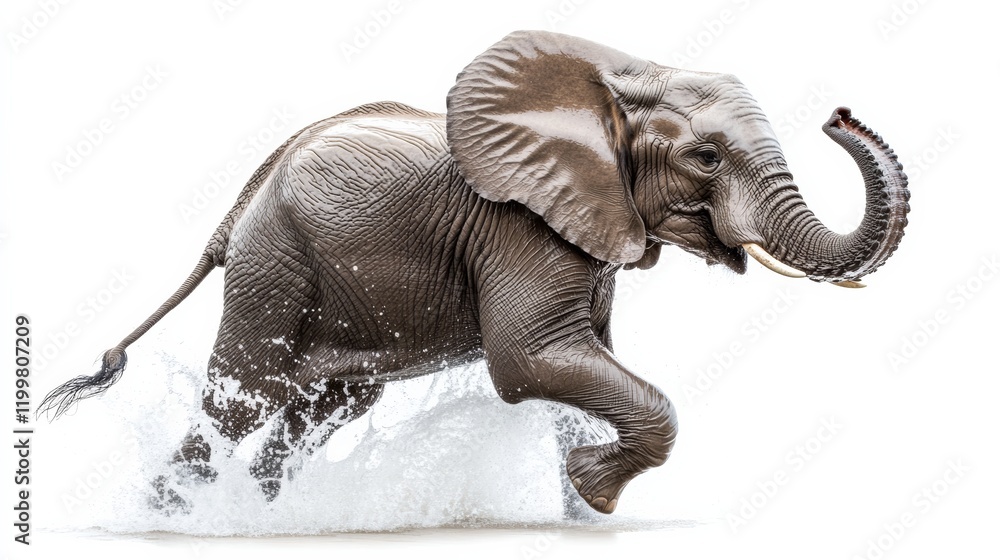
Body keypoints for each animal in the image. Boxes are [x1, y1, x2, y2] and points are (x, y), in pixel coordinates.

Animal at [39, 30, 909, 515]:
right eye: (705, 157)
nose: (840, 114)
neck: (616, 81)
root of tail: (240, 202)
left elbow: (588, 362)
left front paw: (580, 504)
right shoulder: (521, 228)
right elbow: (531, 361)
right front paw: (592, 490)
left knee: (324, 408)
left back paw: (258, 516)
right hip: (273, 265)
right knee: (241, 396)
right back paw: (179, 521)